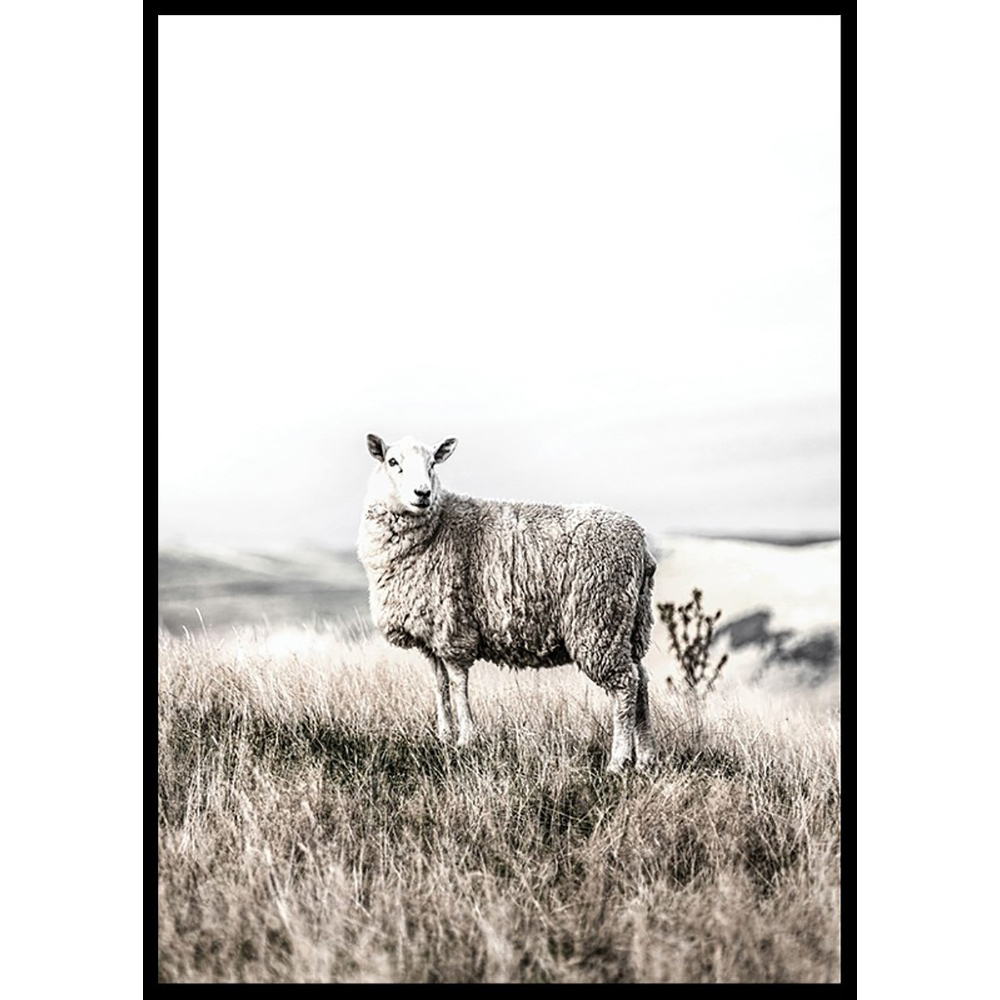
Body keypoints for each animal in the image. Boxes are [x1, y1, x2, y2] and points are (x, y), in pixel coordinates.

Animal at [356, 433, 658, 772]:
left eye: (433, 463)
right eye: (393, 462)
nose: (423, 493)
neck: (437, 527)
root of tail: (640, 544)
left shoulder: (454, 628)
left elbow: (458, 684)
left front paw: (466, 739)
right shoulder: (431, 635)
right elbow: (440, 685)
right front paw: (444, 736)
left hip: (598, 620)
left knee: (625, 685)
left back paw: (619, 761)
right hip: (629, 625)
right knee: (641, 681)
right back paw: (646, 758)